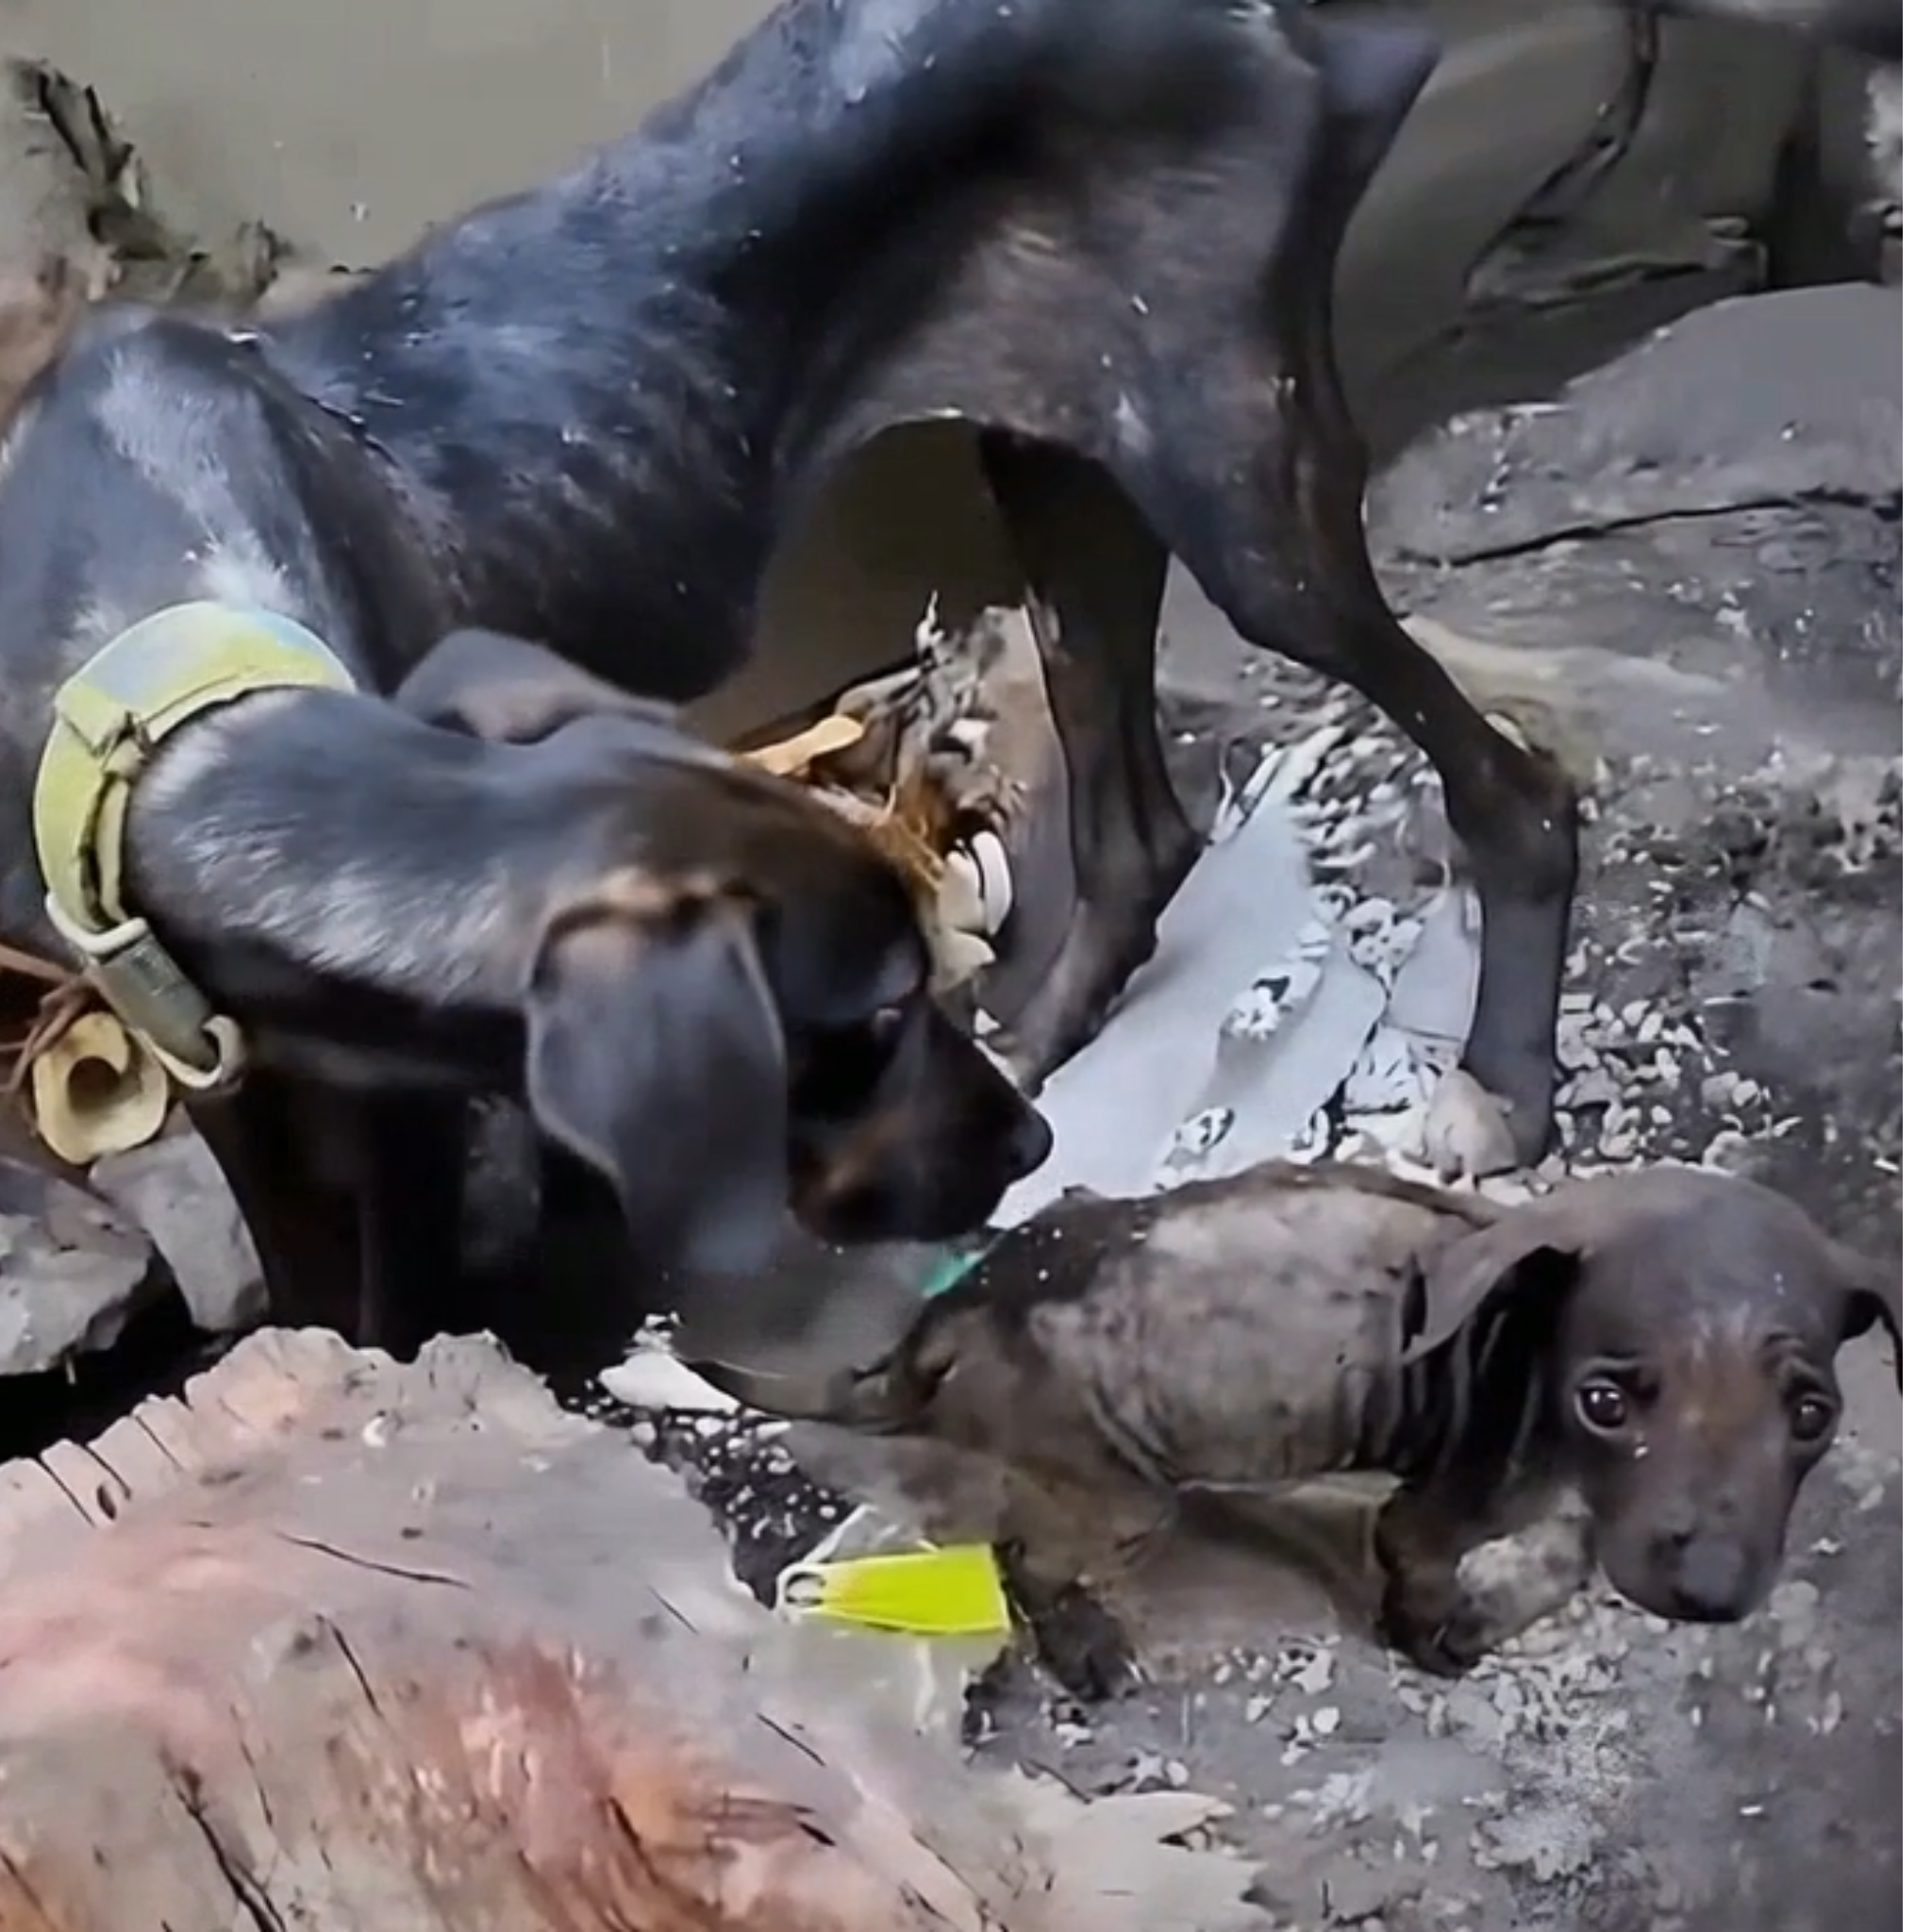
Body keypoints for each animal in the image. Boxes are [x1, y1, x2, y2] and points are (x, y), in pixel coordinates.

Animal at [693, 1160, 1900, 1682]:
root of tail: (960, 1303)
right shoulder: (1433, 1511)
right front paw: (1433, 1640)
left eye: (1809, 1413)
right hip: (1119, 1492)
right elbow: (1434, 1573)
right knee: (1023, 1553)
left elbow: (1566, 1554)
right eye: (1603, 1399)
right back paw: (1083, 1651)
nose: (1706, 1588)